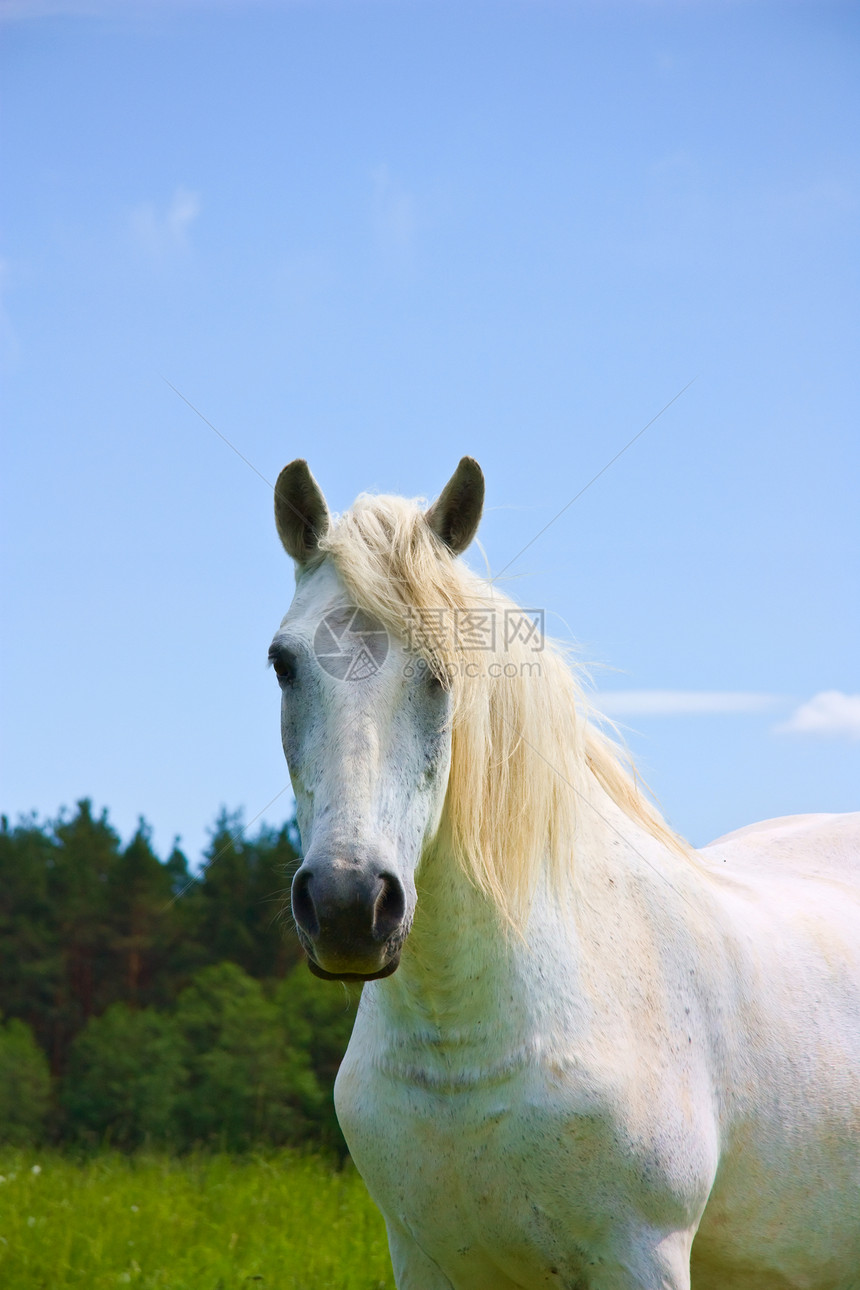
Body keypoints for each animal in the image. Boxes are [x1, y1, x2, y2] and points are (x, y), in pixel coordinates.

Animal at [265, 459, 856, 1284]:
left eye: (443, 671)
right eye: (283, 663)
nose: (349, 907)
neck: (466, 1053)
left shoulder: (641, 1254)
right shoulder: (423, 1257)